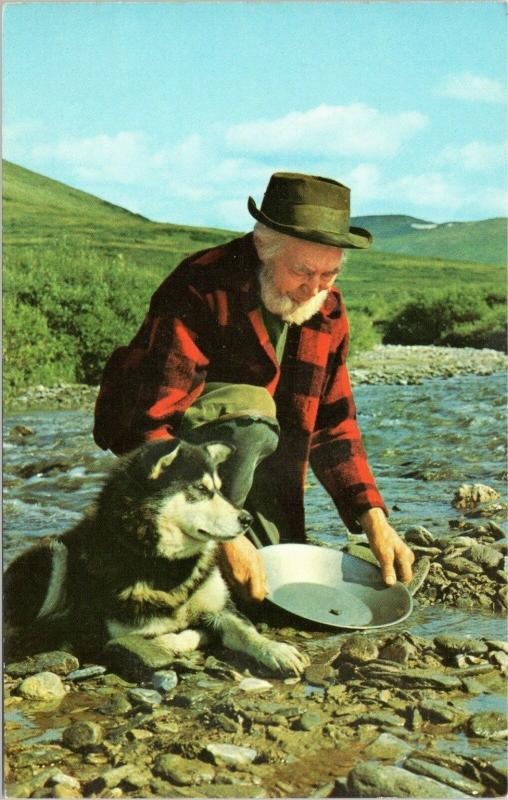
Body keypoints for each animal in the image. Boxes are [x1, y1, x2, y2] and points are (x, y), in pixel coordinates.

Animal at [3, 438, 308, 676]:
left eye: (220, 489)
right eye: (201, 489)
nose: (246, 519)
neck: (168, 566)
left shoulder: (221, 607)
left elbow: (247, 630)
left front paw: (275, 650)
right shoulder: (113, 636)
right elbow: (167, 639)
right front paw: (191, 634)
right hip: (54, 552)